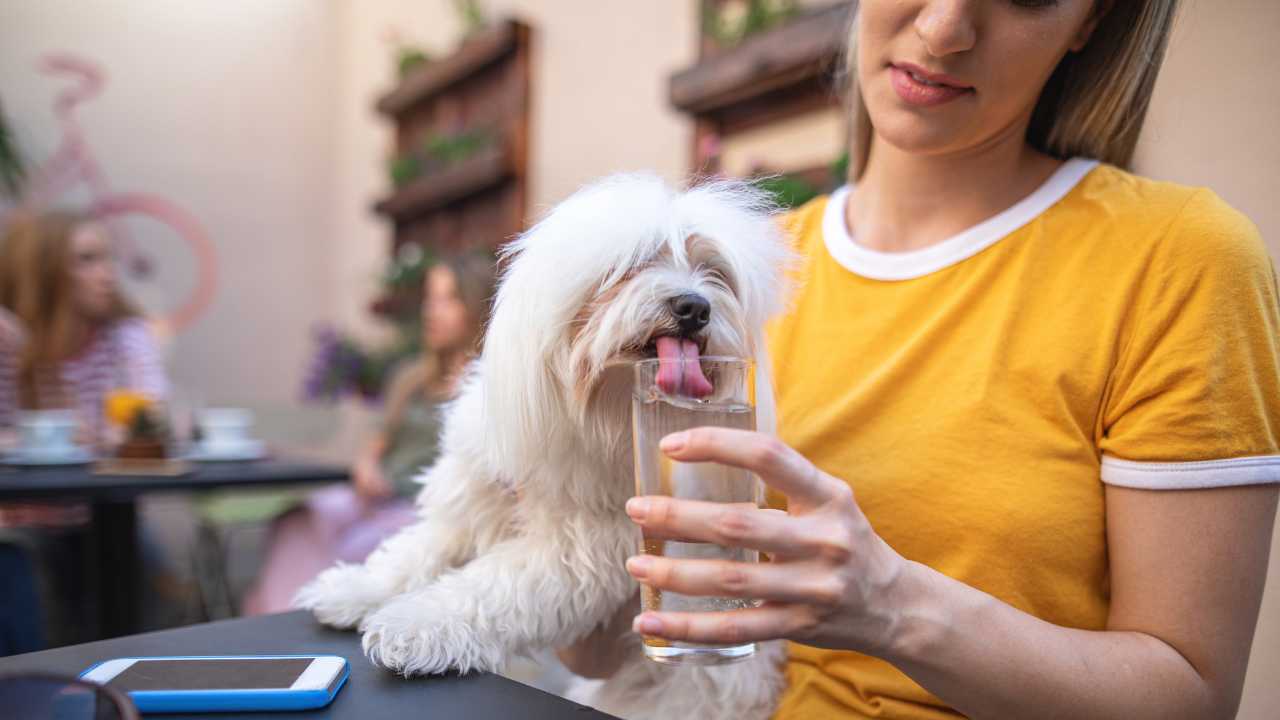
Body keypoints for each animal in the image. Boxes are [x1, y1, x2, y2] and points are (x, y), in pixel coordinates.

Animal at [298, 174, 788, 717]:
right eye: (632, 265)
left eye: (714, 273)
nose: (695, 306)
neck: (597, 412)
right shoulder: (471, 499)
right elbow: (416, 551)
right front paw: (357, 588)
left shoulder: (577, 549)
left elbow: (489, 588)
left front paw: (416, 627)